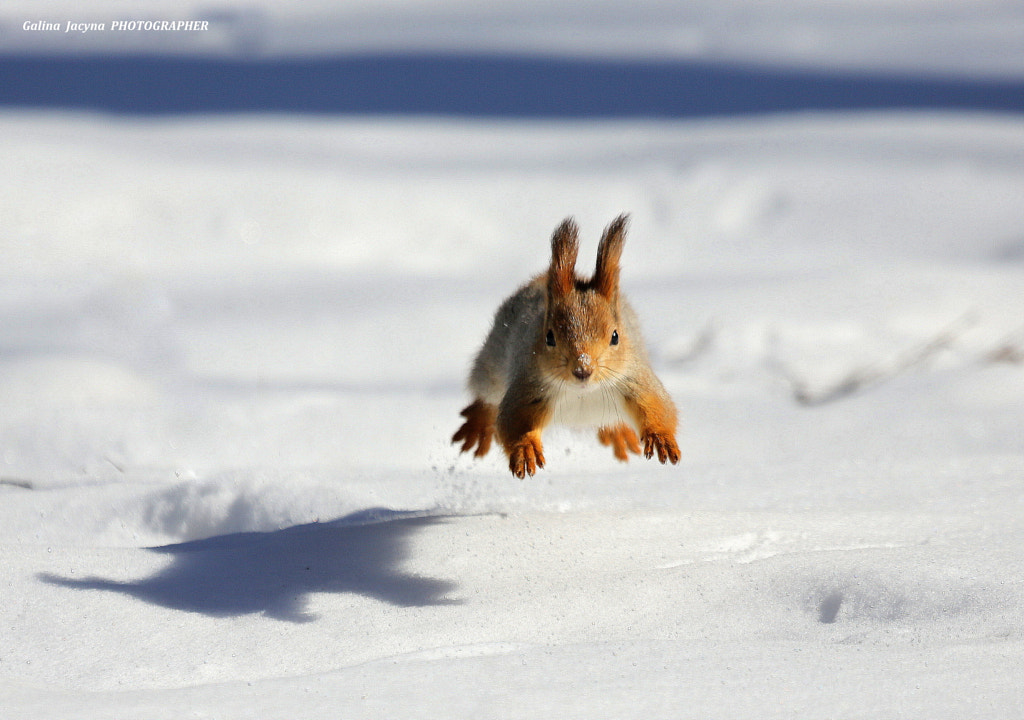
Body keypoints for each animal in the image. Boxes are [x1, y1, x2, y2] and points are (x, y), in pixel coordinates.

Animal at [454, 214, 679, 479]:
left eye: (615, 336)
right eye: (549, 337)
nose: (582, 370)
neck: (583, 392)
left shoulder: (635, 380)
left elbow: (658, 407)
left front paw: (661, 438)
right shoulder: (530, 386)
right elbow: (514, 421)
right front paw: (526, 449)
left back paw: (619, 433)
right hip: (493, 364)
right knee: (486, 394)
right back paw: (477, 425)